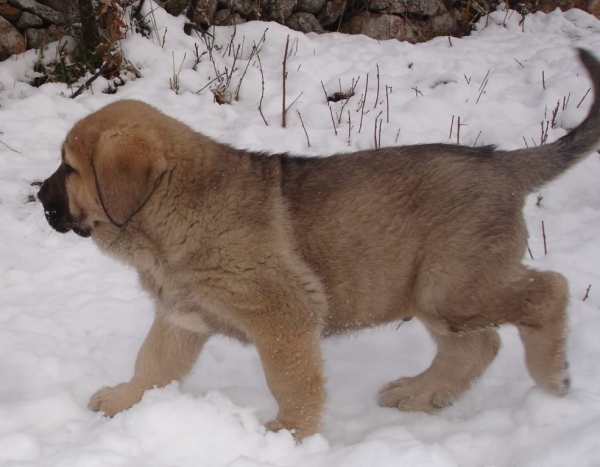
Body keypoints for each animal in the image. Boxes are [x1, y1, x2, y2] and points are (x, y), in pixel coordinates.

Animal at [38, 49, 600, 440]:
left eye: (69, 169)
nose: (39, 197)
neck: (169, 213)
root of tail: (502, 163)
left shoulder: (282, 314)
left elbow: (291, 379)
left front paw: (288, 434)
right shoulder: (182, 315)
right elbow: (153, 364)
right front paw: (124, 400)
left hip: (454, 287)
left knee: (549, 290)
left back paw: (553, 377)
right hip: (436, 294)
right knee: (477, 345)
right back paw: (421, 393)